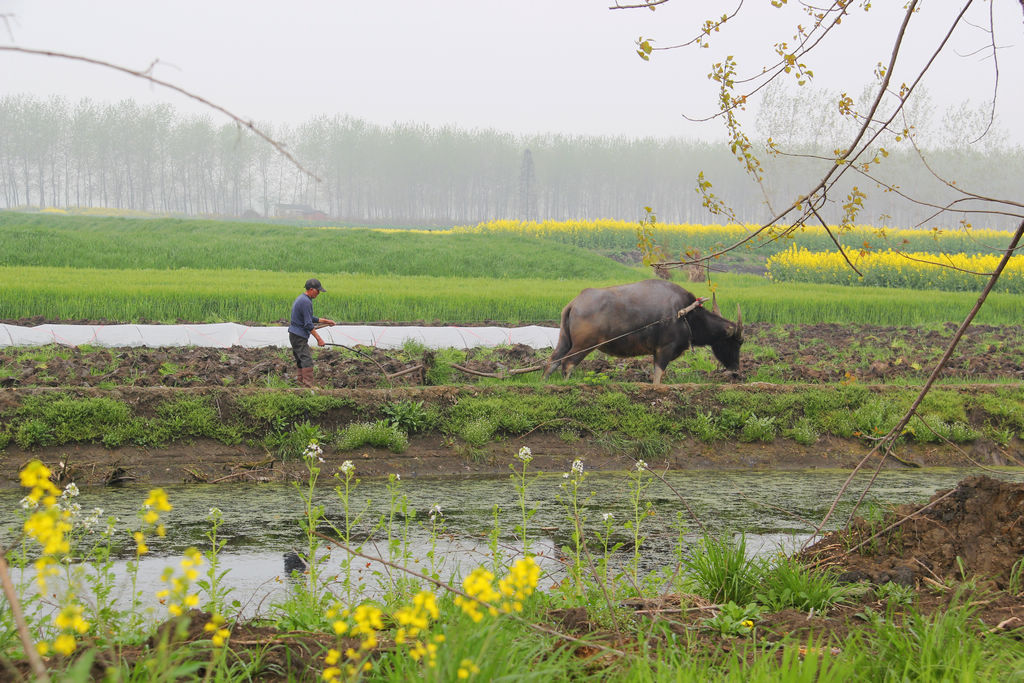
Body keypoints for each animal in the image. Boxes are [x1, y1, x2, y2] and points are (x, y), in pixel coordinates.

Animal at [544, 278, 745, 385]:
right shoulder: (664, 349)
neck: (686, 314)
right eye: (736, 341)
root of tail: (575, 303)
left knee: (552, 361)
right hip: (584, 345)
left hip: (565, 340)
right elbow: (658, 377)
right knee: (567, 364)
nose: (736, 370)